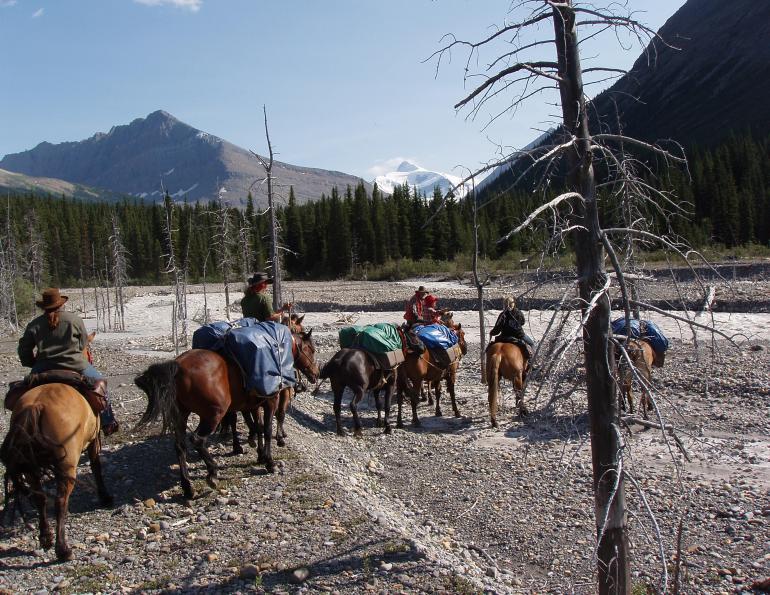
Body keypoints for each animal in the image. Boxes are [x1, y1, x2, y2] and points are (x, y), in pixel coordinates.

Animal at [0, 384, 112, 561]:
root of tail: (36, 406)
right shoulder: (94, 441)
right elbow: (96, 467)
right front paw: (105, 496)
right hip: (67, 466)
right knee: (60, 502)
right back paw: (63, 549)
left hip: (32, 469)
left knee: (40, 498)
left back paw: (46, 538)